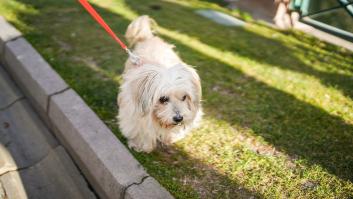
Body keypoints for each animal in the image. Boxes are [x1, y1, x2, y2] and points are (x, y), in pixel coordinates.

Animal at [117, 15, 202, 152]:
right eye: (163, 99)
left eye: (184, 97)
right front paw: (140, 144)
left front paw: (170, 137)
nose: (179, 118)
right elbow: (140, 129)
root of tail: (149, 38)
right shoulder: (134, 111)